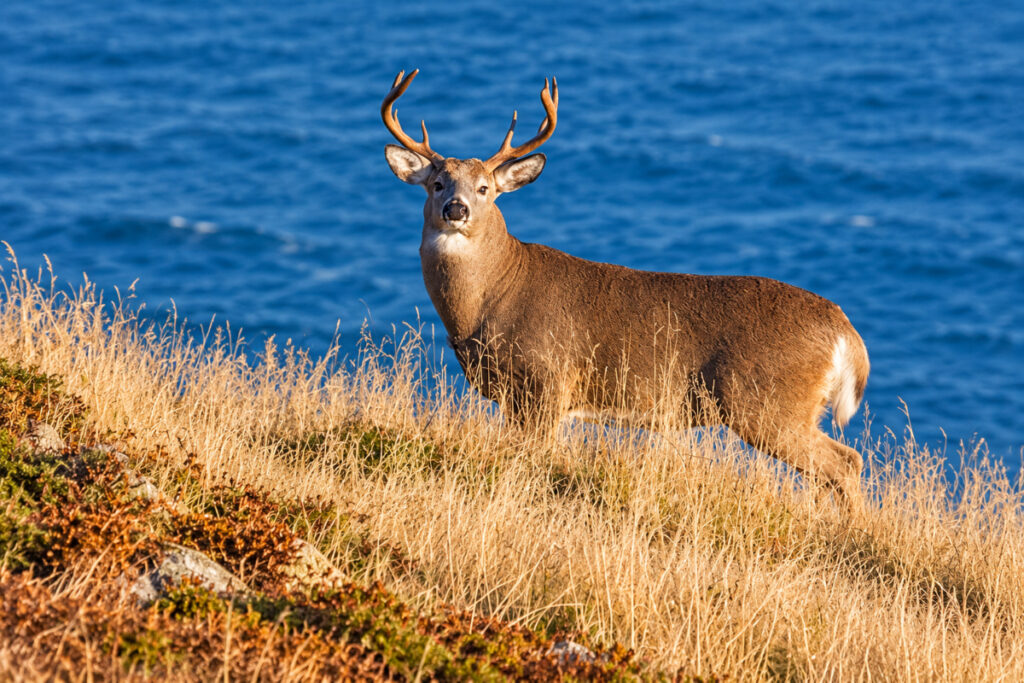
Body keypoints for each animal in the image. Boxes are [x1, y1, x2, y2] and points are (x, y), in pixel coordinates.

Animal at [381, 70, 870, 502]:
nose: (456, 208)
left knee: (845, 463)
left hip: (765, 402)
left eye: (485, 188)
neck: (491, 298)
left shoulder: (547, 382)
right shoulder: (514, 397)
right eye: (437, 183)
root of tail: (846, 333)